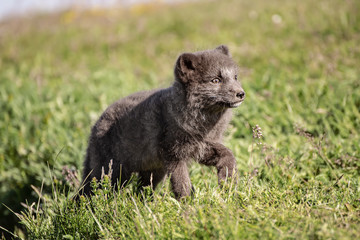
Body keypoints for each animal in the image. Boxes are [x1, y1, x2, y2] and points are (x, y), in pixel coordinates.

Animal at [81, 45, 245, 199]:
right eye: (216, 80)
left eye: (235, 77)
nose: (241, 94)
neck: (204, 122)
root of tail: (96, 124)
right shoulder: (174, 154)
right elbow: (182, 184)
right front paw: (188, 205)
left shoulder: (202, 146)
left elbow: (228, 154)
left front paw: (228, 184)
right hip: (110, 173)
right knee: (91, 192)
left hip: (152, 172)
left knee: (141, 191)